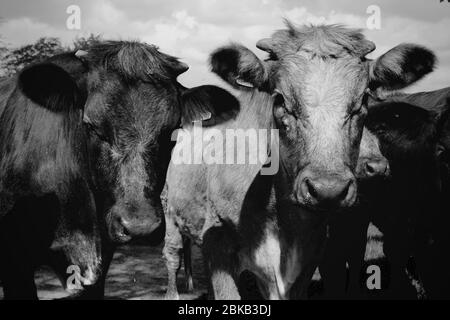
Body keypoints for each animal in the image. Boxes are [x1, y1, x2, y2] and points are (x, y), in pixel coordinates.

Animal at [163, 23, 436, 300]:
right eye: (280, 99)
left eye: (361, 102)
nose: (328, 189)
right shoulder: (218, 241)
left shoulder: (308, 257)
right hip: (170, 213)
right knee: (172, 256)